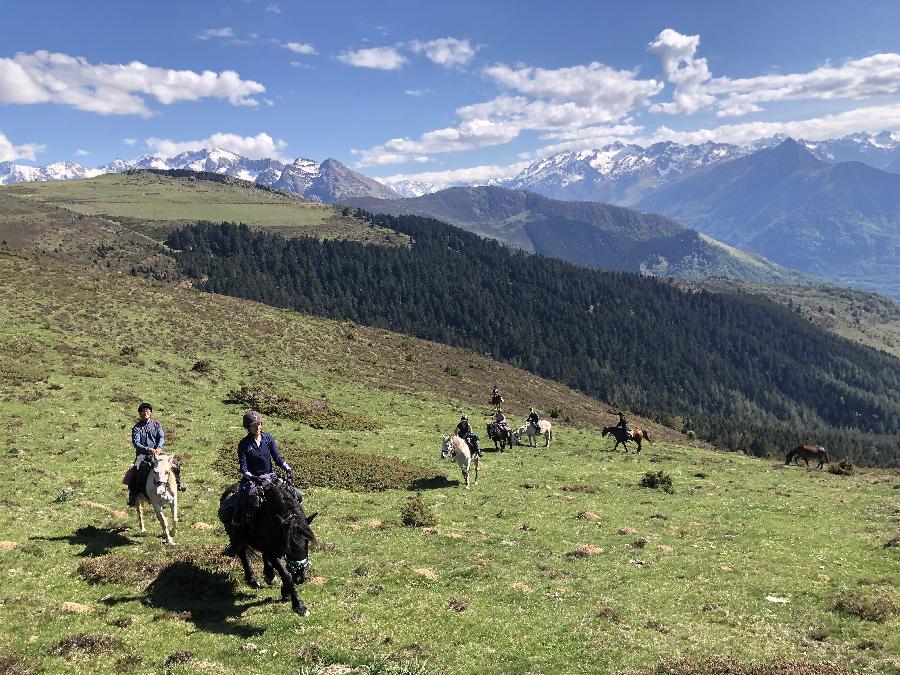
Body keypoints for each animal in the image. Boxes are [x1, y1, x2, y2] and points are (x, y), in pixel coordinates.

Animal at [217, 478, 316, 616]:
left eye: (307, 542)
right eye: (289, 545)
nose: (301, 578)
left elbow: (287, 571)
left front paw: (286, 593)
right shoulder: (273, 553)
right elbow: (286, 575)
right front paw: (299, 606)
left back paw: (269, 575)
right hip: (236, 536)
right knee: (242, 554)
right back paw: (253, 579)